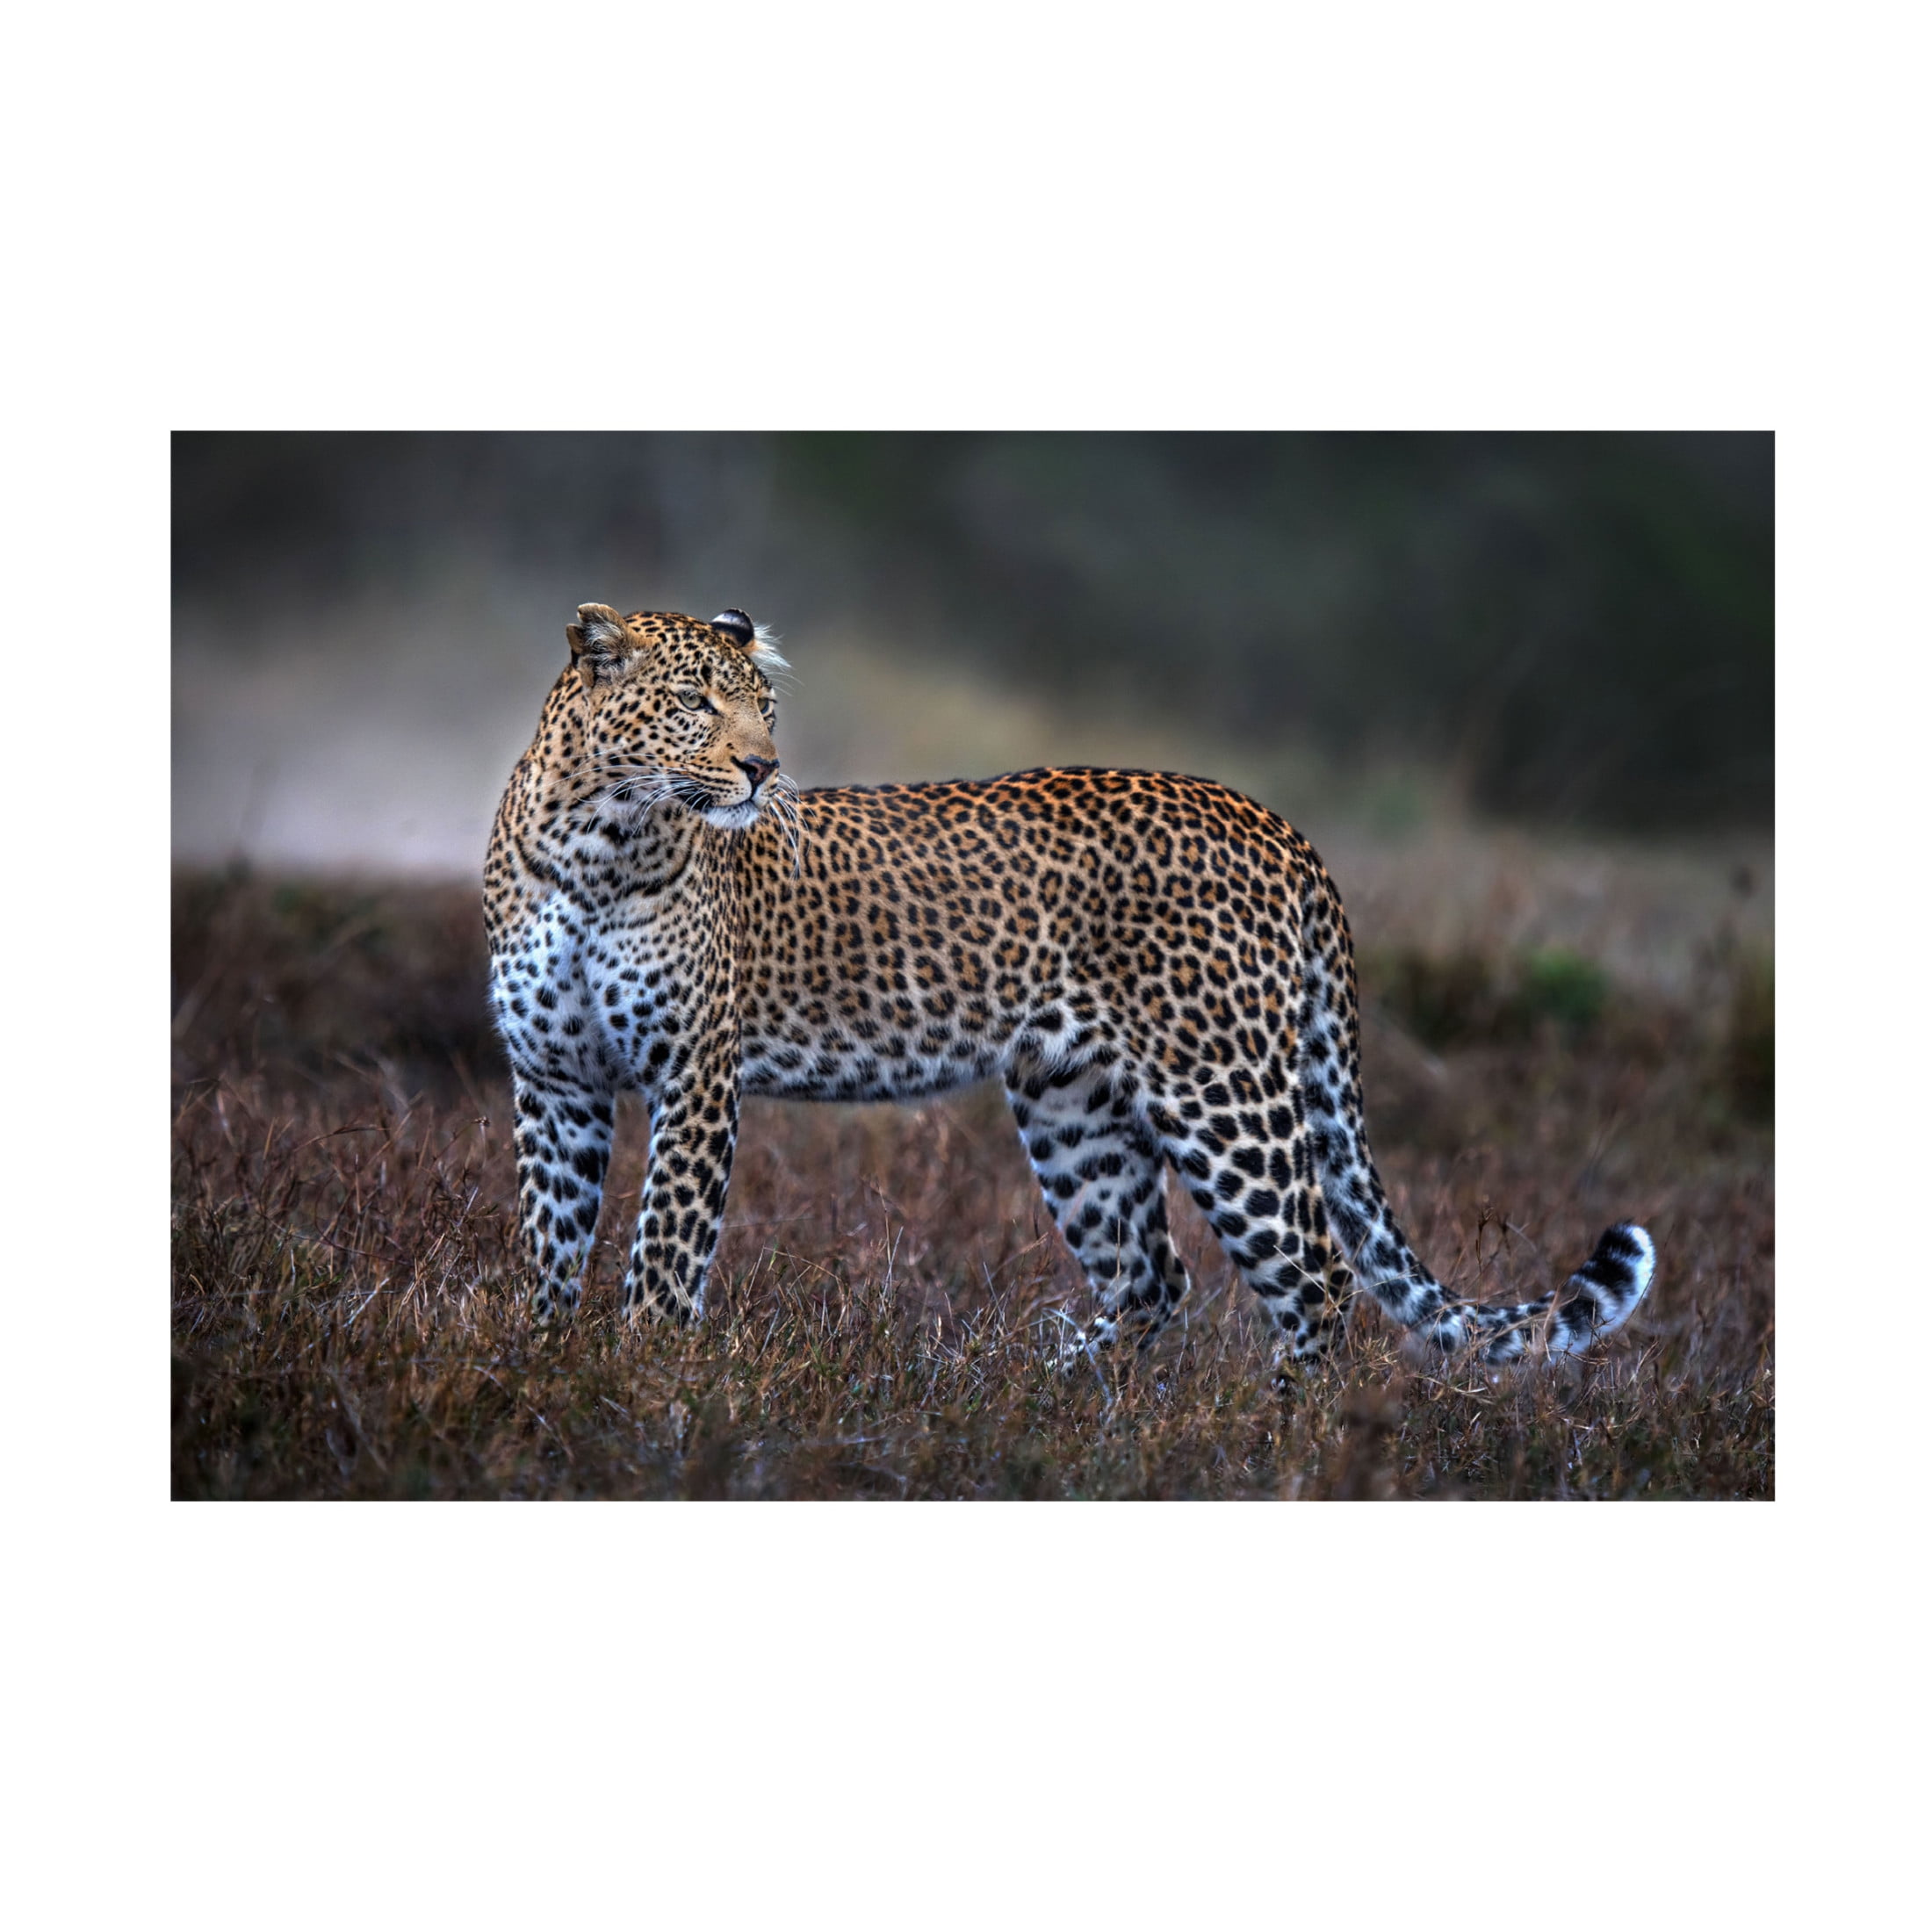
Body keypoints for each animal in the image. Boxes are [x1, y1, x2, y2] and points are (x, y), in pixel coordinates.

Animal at [484, 603, 1655, 1372]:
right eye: (695, 702)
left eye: (763, 705)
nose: (763, 769)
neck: (599, 845)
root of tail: (1274, 821)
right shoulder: (554, 1079)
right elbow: (552, 1234)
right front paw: (543, 1362)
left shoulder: (693, 1073)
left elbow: (662, 1251)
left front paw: (643, 1377)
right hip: (1072, 1104)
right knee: (1153, 1278)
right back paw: (1051, 1390)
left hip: (1223, 1091)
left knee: (1315, 1274)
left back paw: (1283, 1440)